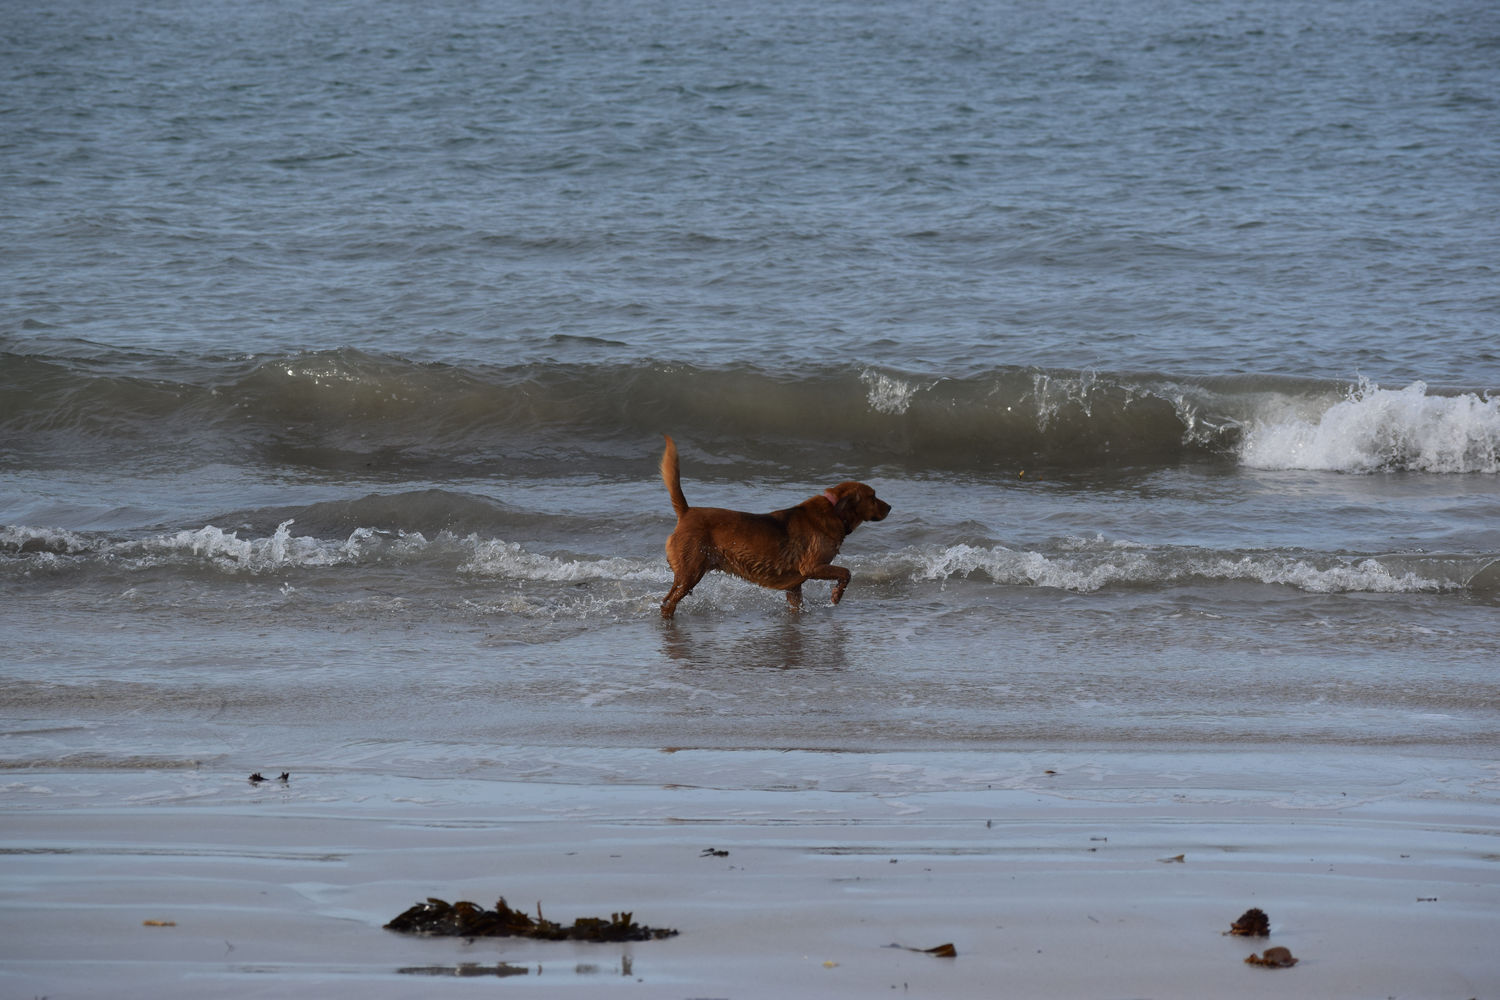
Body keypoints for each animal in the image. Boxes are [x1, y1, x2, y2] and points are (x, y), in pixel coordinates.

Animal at [660, 434, 888, 617]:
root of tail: (686, 511)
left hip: (686, 574)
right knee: (669, 603)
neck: (835, 511)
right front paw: (836, 595)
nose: (890, 507)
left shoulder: (795, 587)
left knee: (666, 599)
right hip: (691, 573)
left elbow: (798, 605)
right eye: (873, 497)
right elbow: (846, 573)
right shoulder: (813, 567)